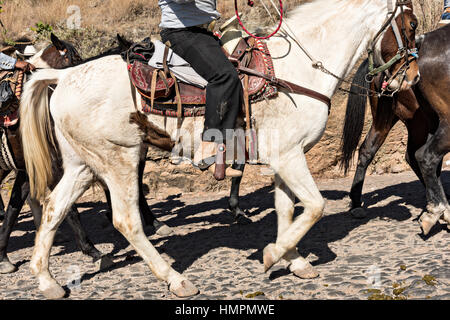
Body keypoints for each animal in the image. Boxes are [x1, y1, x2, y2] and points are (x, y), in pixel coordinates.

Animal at [18, 0, 418, 300]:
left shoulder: (284, 159)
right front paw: (273, 255)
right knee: (126, 221)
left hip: (82, 165)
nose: (412, 78)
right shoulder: (290, 157)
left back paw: (47, 281)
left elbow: (287, 210)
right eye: (412, 23)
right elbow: (315, 207)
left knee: (54, 208)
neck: (298, 70)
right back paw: (174, 279)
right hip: (120, 159)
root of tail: (63, 76)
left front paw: (294, 260)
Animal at [342, 23, 450, 235]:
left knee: (370, 150)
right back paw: (438, 211)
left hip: (394, 120)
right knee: (424, 156)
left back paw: (356, 203)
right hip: (428, 123)